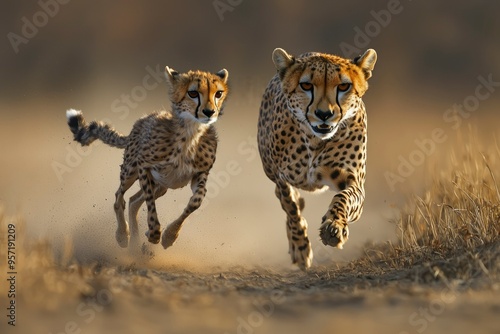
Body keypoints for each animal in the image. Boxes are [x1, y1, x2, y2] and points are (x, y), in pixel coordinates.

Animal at [66, 67, 229, 250]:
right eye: (193, 93)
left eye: (218, 93)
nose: (209, 112)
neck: (190, 133)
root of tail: (141, 120)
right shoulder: (144, 166)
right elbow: (150, 204)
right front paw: (154, 233)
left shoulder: (200, 174)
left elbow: (196, 200)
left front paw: (169, 236)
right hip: (131, 171)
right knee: (119, 198)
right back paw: (123, 236)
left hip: (162, 185)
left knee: (133, 201)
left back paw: (135, 245)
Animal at [258, 48, 376, 270]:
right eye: (306, 85)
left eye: (344, 86)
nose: (324, 114)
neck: (315, 140)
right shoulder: (282, 177)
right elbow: (291, 207)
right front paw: (300, 245)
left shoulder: (354, 181)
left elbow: (344, 197)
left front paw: (334, 227)